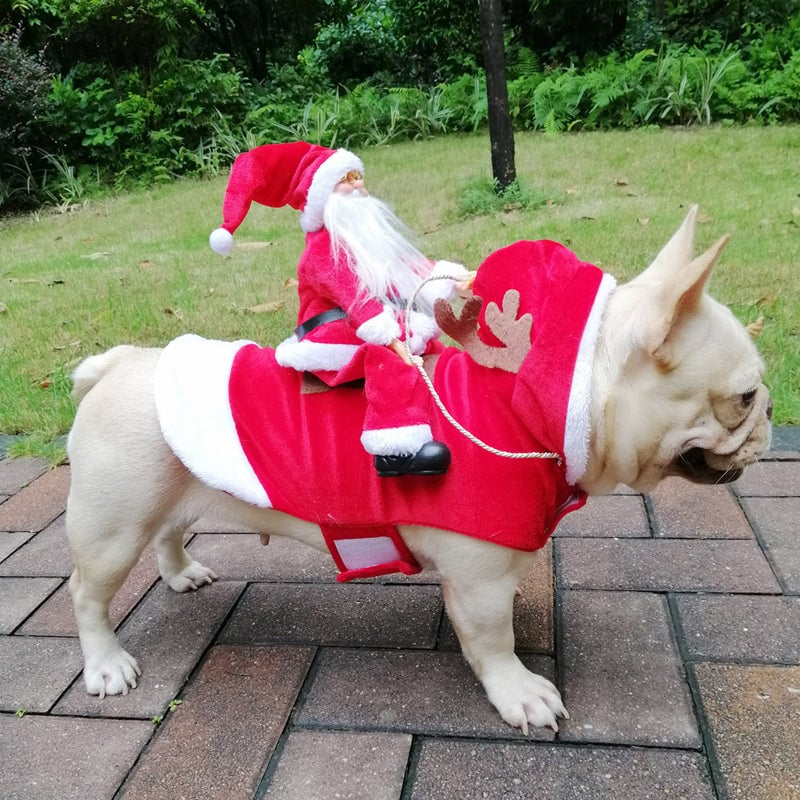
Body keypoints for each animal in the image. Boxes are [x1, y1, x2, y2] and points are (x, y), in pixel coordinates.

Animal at [64, 205, 768, 732]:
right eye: (744, 397)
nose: (768, 416)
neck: (531, 415)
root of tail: (119, 363)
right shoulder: (477, 580)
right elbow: (492, 639)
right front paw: (519, 693)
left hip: (165, 495)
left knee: (168, 531)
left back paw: (181, 574)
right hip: (112, 526)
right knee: (88, 594)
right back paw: (105, 666)